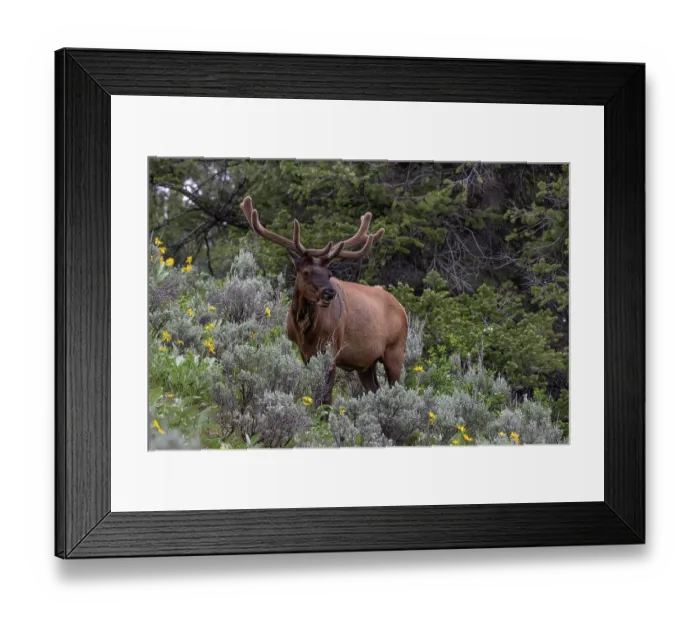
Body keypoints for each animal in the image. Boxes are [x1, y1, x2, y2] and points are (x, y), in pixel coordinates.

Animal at [240, 196, 408, 405]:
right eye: (305, 272)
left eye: (329, 273)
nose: (329, 293)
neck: (305, 329)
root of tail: (403, 310)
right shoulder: (304, 351)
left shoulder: (332, 348)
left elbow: (326, 395)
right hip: (366, 363)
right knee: (375, 389)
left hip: (395, 351)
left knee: (399, 389)